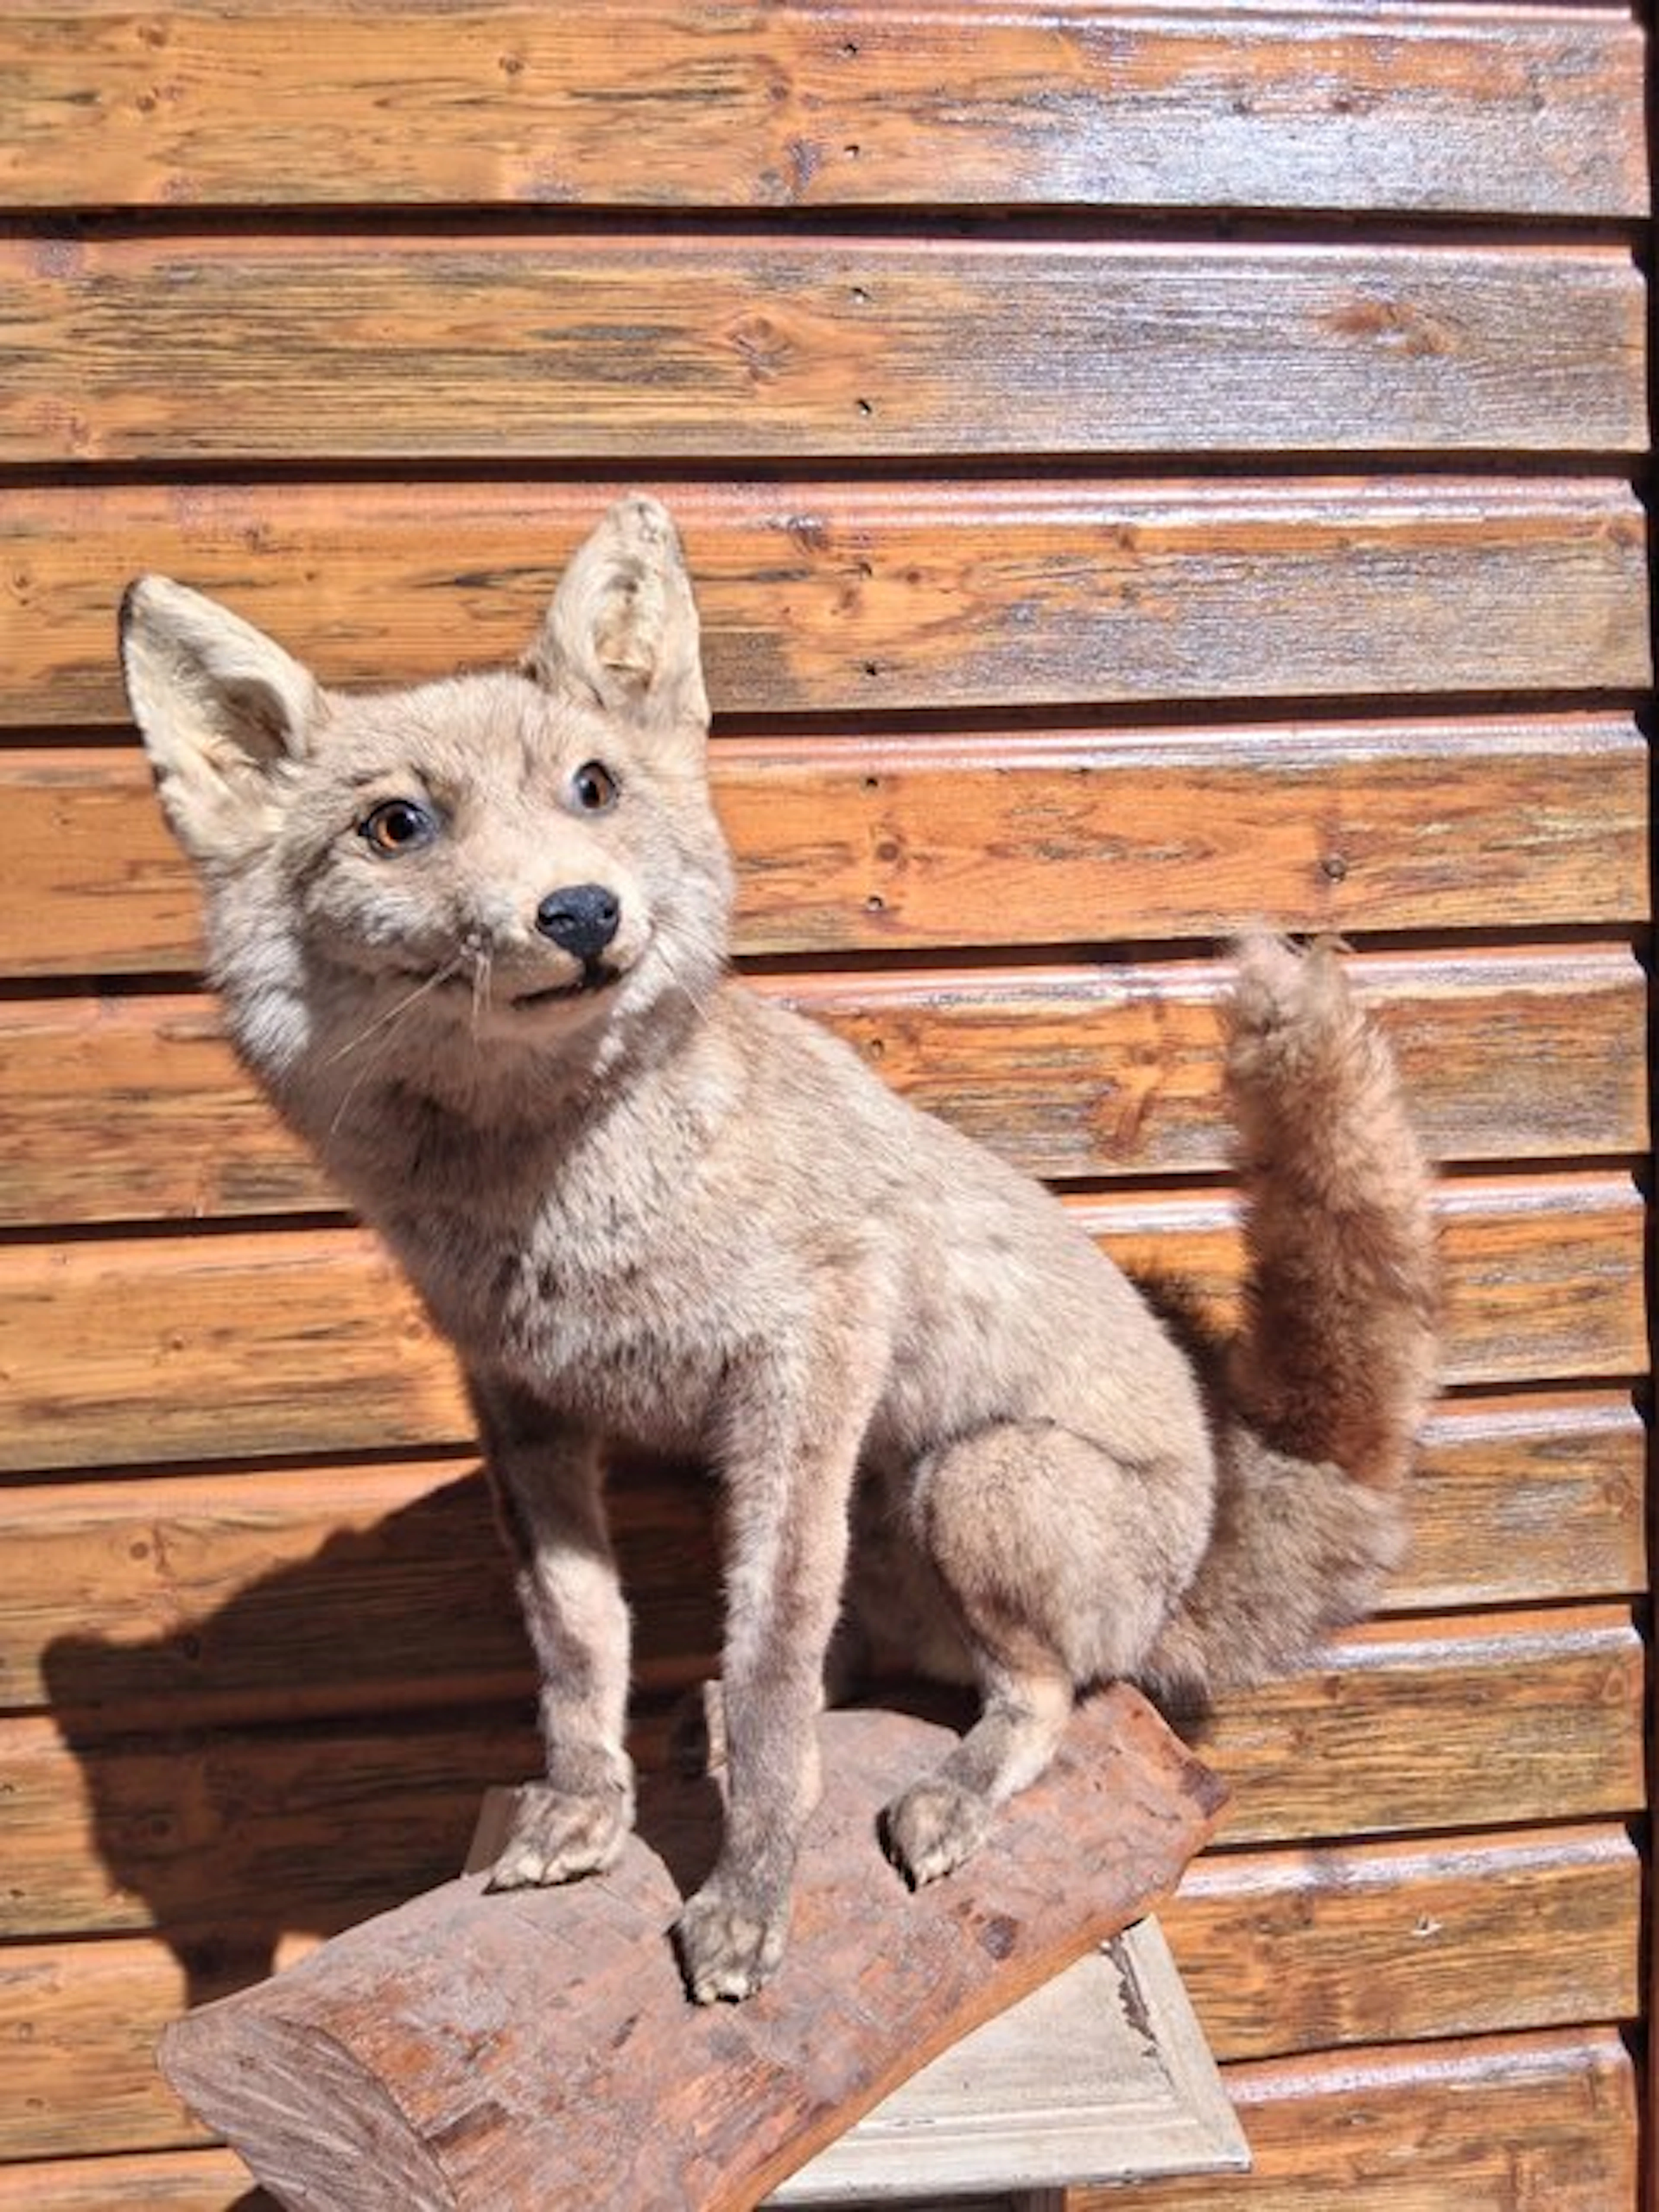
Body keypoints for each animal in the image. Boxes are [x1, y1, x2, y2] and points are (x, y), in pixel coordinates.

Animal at [119, 495, 1438, 2003]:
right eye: (398, 823)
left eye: (592, 788)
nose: (581, 913)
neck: (553, 1207)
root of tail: (1216, 1533)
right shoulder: (521, 1401)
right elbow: (581, 1641)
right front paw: (586, 1813)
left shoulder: (810, 1355)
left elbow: (768, 1668)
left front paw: (750, 1897)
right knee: (853, 1661)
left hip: (973, 1477)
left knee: (1044, 1691)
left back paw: (959, 1786)